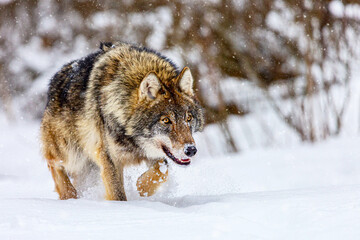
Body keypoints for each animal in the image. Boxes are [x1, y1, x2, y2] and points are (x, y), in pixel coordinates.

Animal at [40, 42, 204, 201]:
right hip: (70, 154)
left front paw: (142, 188)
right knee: (53, 163)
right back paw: (69, 196)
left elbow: (162, 171)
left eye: (188, 118)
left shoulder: (151, 154)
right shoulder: (109, 159)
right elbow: (118, 195)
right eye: (166, 120)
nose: (191, 150)